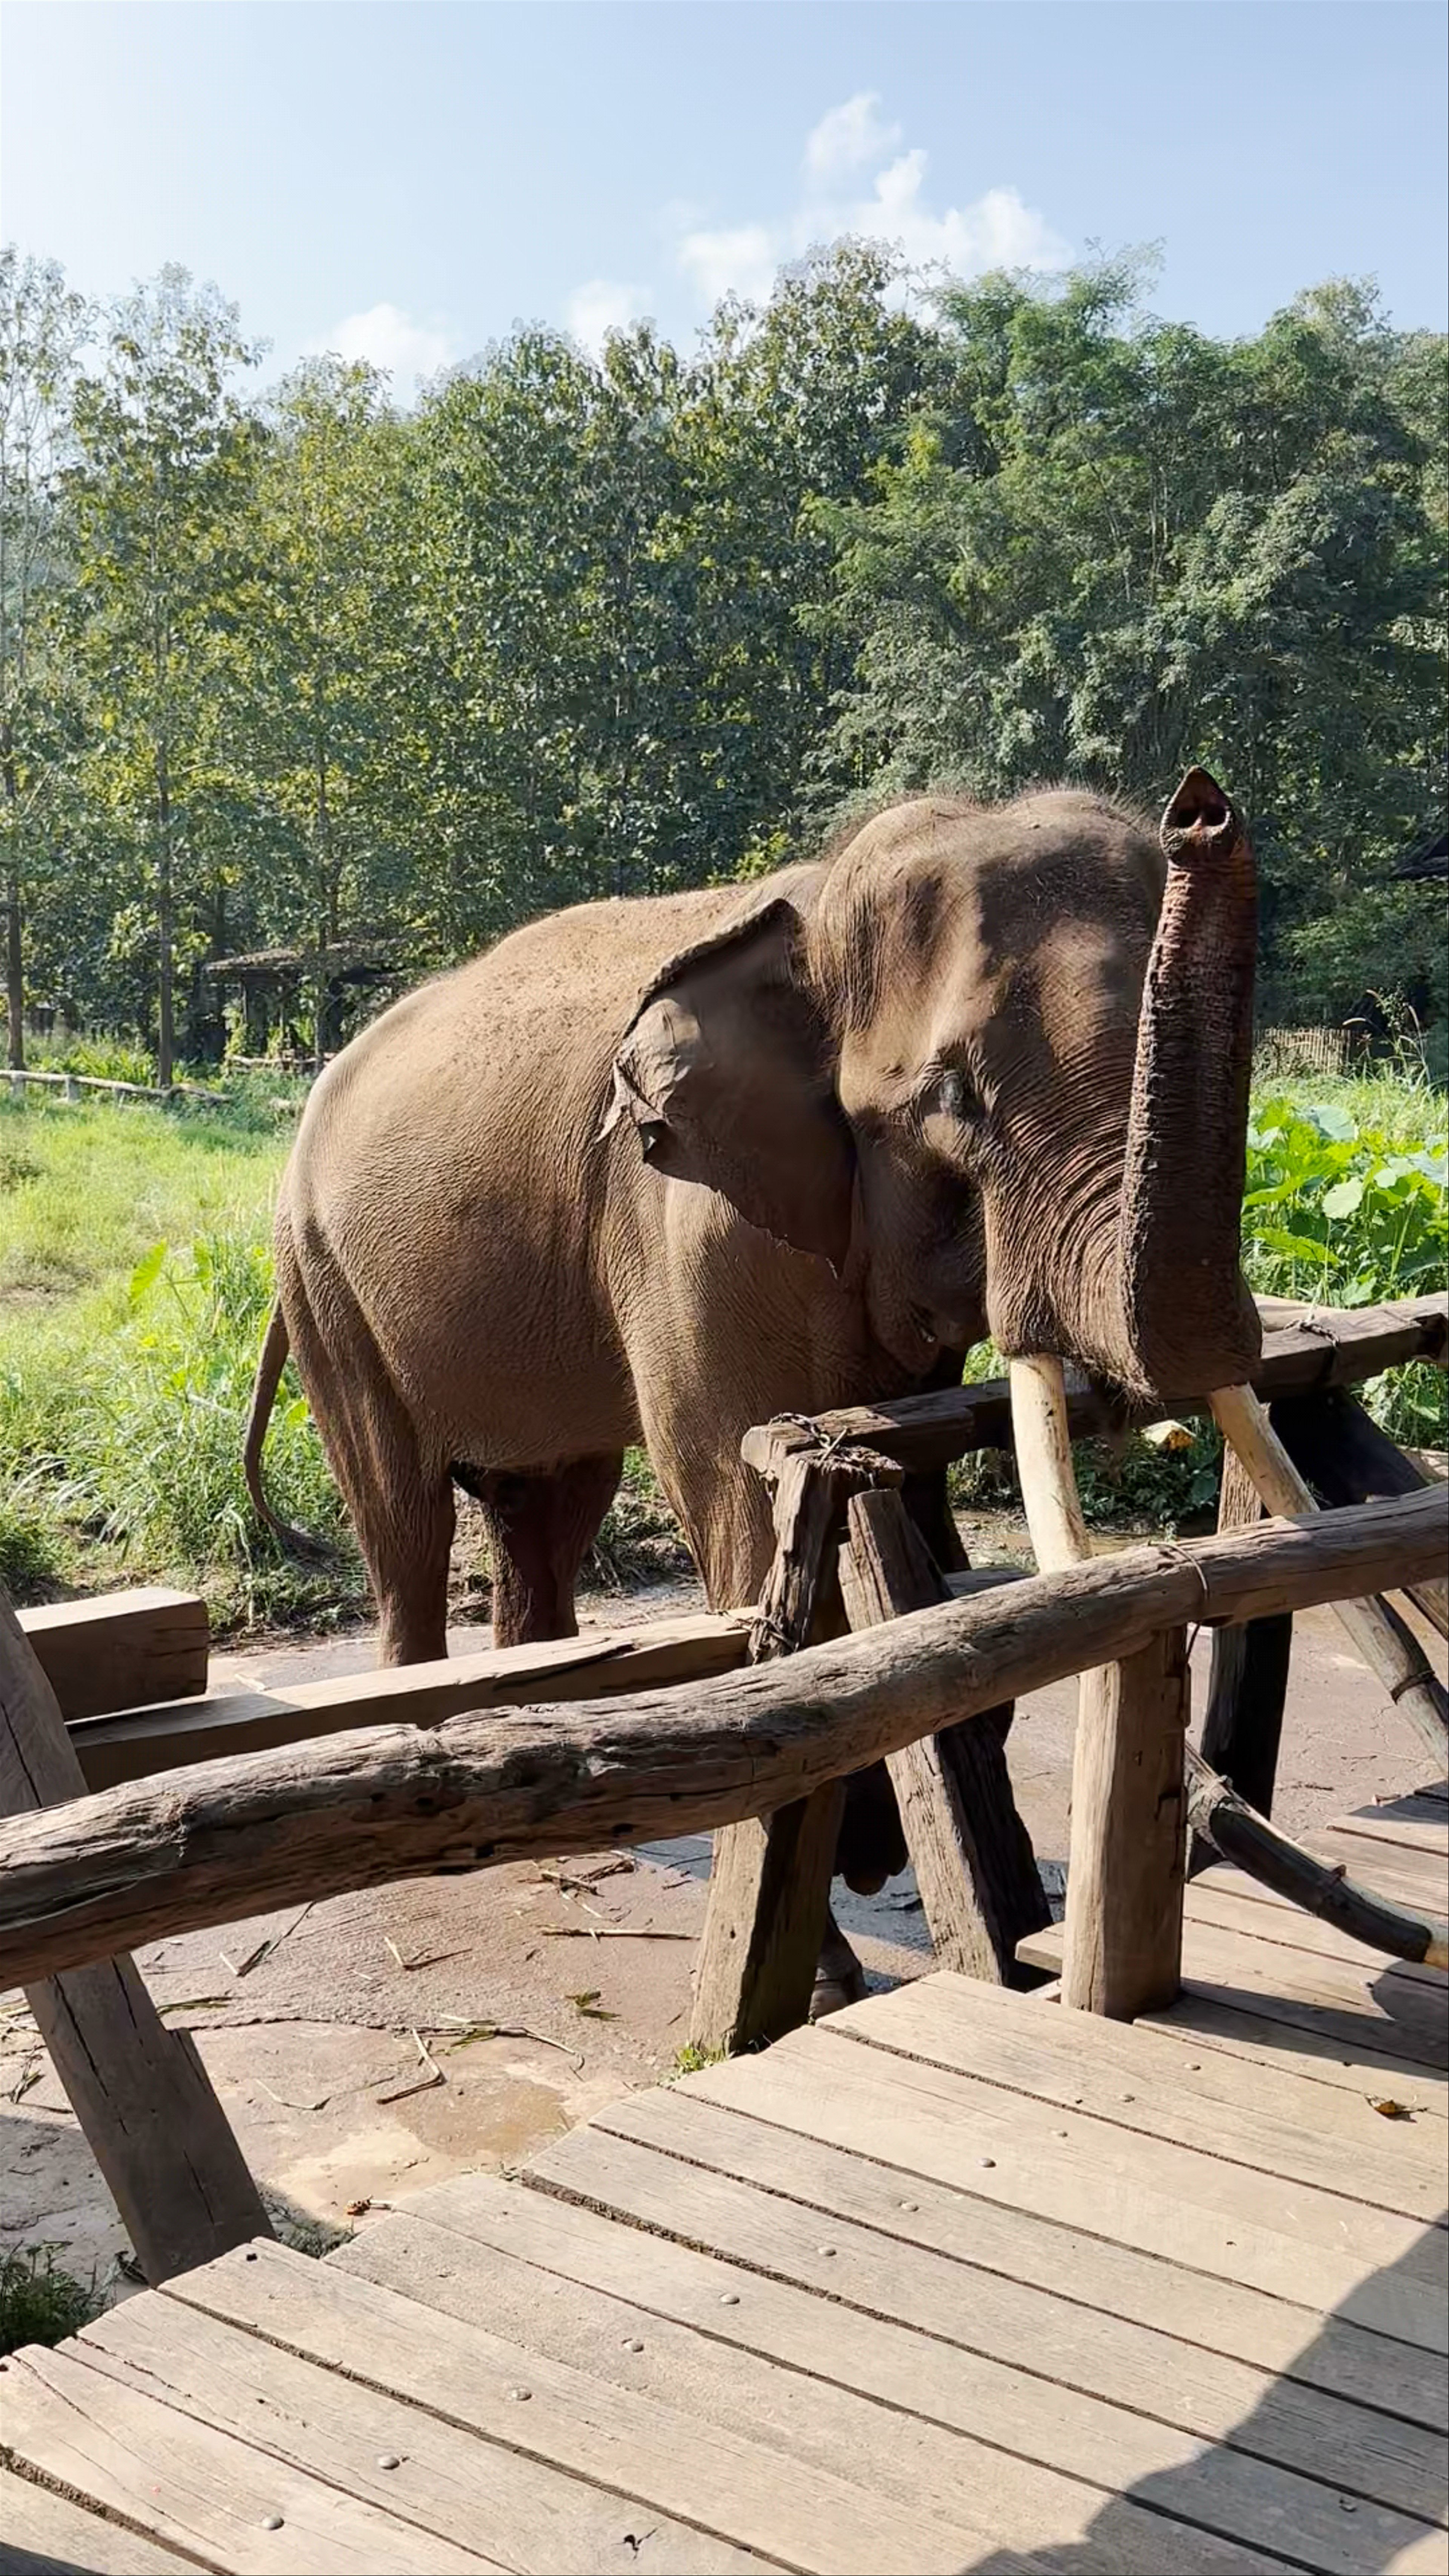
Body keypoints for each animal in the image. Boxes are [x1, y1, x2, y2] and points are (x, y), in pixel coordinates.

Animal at [246, 767, 1260, 1976]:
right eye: (954, 1099)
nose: (1200, 808)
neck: (817, 909)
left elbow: (908, 1506)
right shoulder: (696, 1229)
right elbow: (743, 1498)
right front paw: (826, 1964)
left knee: (546, 1503)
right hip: (321, 1277)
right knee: (403, 1514)